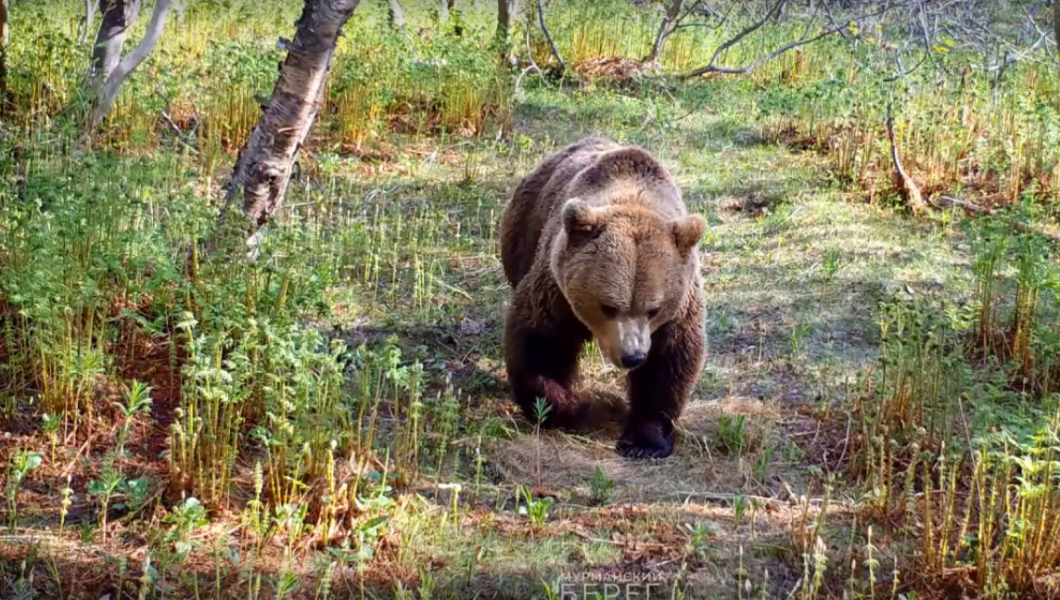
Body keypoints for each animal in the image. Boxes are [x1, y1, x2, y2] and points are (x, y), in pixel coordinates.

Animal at [499, 137, 707, 459]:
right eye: (608, 306)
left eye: (654, 309)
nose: (633, 356)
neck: (632, 196)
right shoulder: (557, 292)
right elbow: (541, 342)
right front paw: (576, 409)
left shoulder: (680, 307)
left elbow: (668, 362)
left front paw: (645, 441)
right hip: (524, 231)